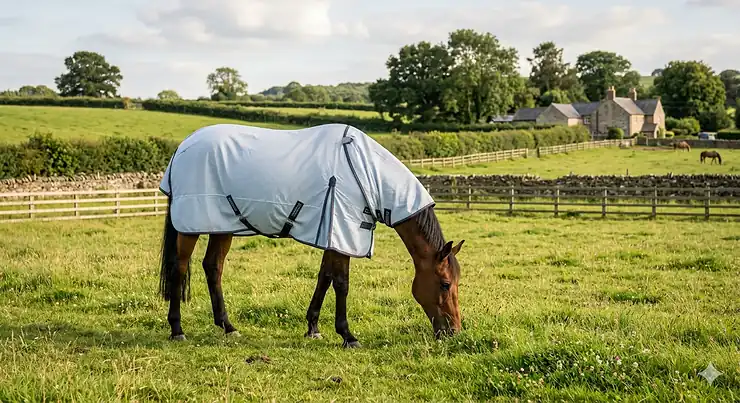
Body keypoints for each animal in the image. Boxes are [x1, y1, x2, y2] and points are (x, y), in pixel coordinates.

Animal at [157, 123, 465, 348]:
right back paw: (177, 330)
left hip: (223, 225)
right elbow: (341, 283)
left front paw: (313, 327)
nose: (454, 331)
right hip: (191, 227)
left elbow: (324, 278)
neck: (366, 174)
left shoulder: (333, 235)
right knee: (178, 269)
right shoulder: (343, 233)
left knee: (213, 267)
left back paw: (228, 326)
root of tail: (183, 147)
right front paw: (347, 335)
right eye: (445, 284)